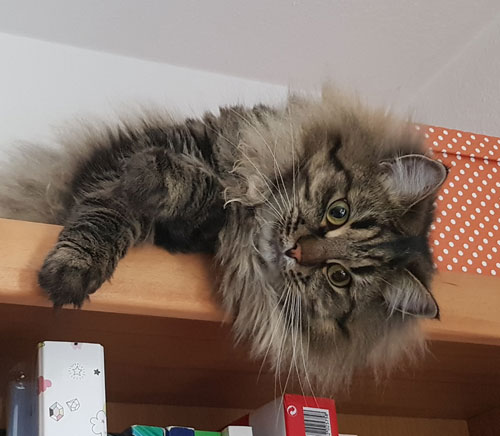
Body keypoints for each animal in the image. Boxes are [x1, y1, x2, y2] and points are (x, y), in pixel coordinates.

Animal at [0, 86, 447, 390]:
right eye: (338, 212)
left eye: (339, 276)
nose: (297, 251)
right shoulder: (135, 154)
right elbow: (106, 212)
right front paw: (72, 269)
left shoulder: (190, 231)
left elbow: (202, 196)